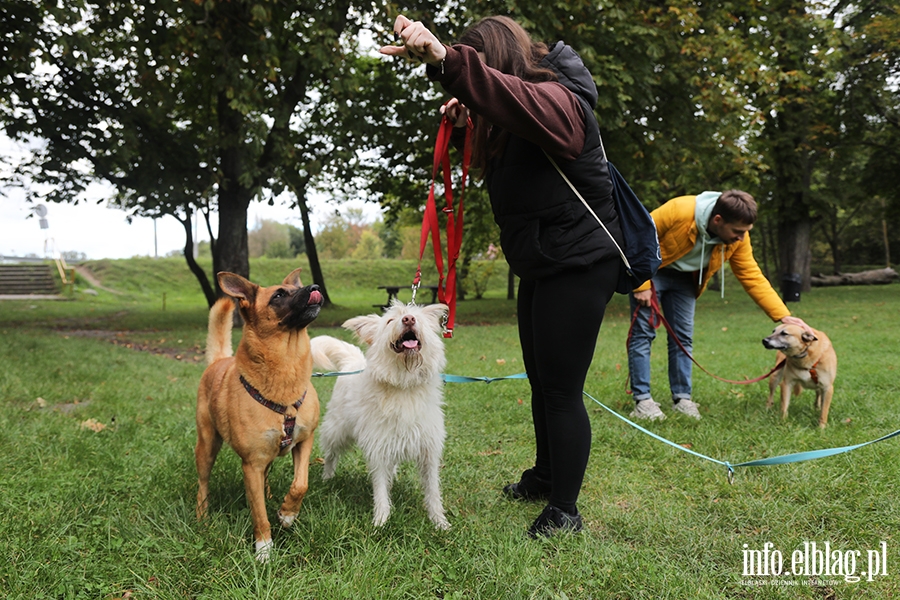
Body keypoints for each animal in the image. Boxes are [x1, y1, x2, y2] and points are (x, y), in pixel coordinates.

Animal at [195, 270, 326, 560]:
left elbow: (301, 484)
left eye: (296, 287)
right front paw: (263, 549)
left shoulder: (304, 442)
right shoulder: (251, 465)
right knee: (203, 484)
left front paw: (288, 513)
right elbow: (258, 514)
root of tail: (218, 361)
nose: (315, 287)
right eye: (278, 295)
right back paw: (202, 517)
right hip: (207, 446)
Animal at [312, 302, 450, 528]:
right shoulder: (378, 447)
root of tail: (354, 362)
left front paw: (439, 521)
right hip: (336, 429)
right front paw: (381, 520)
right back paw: (327, 477)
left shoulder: (428, 450)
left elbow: (432, 489)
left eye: (417, 317)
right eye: (390, 320)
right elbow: (380, 488)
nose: (408, 319)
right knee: (331, 455)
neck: (404, 385)